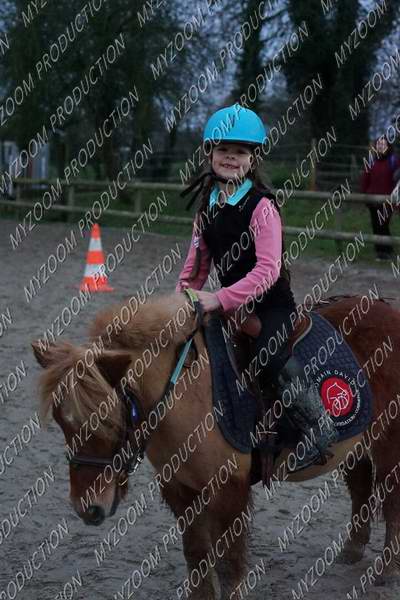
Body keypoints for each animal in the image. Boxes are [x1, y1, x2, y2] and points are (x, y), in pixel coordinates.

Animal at [32, 292, 400, 599]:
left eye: (108, 421)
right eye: (62, 422)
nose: (88, 509)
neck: (187, 393)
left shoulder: (229, 489)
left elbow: (229, 565)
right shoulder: (180, 487)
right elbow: (196, 555)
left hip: (388, 442)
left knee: (391, 500)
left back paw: (387, 568)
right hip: (357, 443)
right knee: (361, 486)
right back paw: (352, 550)